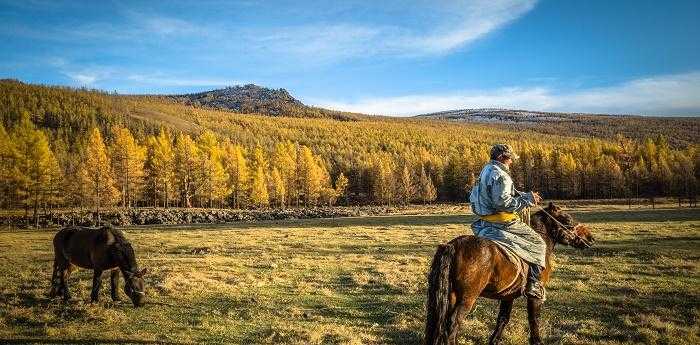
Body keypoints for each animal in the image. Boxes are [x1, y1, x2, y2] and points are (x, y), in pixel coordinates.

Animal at [424, 202, 592, 344]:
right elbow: (534, 320)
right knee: (452, 325)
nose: (590, 238)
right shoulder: (534, 297)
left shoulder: (508, 296)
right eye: (568, 220)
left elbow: (503, 319)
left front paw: (494, 341)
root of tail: (452, 245)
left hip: (452, 296)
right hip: (466, 299)